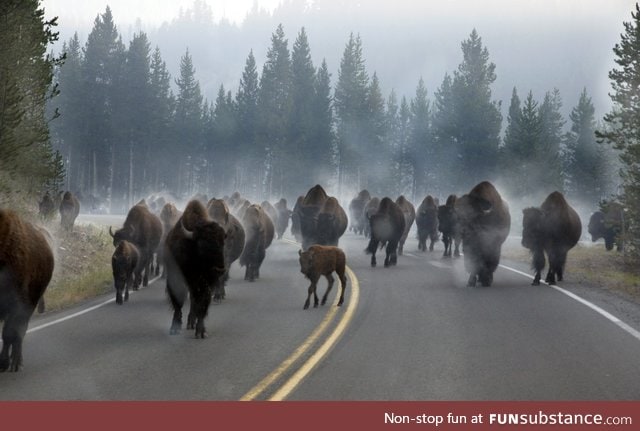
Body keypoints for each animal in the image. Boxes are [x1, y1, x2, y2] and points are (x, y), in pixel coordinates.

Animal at [0, 209, 54, 372]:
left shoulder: (18, 307)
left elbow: (9, 334)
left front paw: (4, 363)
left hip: (30, 305)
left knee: (19, 333)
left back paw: (16, 363)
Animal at [164, 201, 226, 340]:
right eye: (203, 245)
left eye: (222, 243)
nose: (219, 269)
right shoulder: (176, 279)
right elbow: (177, 302)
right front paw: (174, 328)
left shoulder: (207, 283)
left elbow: (203, 303)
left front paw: (201, 331)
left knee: (195, 300)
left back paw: (192, 322)